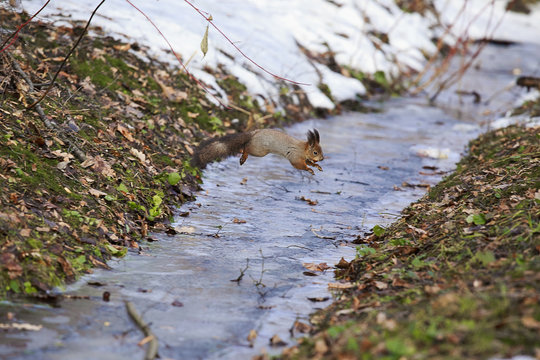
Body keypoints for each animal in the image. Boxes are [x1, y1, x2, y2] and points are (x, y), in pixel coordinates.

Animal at [192, 129, 322, 175]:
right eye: (315, 152)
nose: (322, 158)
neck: (303, 149)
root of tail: (253, 134)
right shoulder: (295, 156)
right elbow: (300, 165)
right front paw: (309, 169)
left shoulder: (304, 158)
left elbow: (309, 162)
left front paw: (317, 166)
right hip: (259, 150)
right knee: (246, 147)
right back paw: (243, 156)